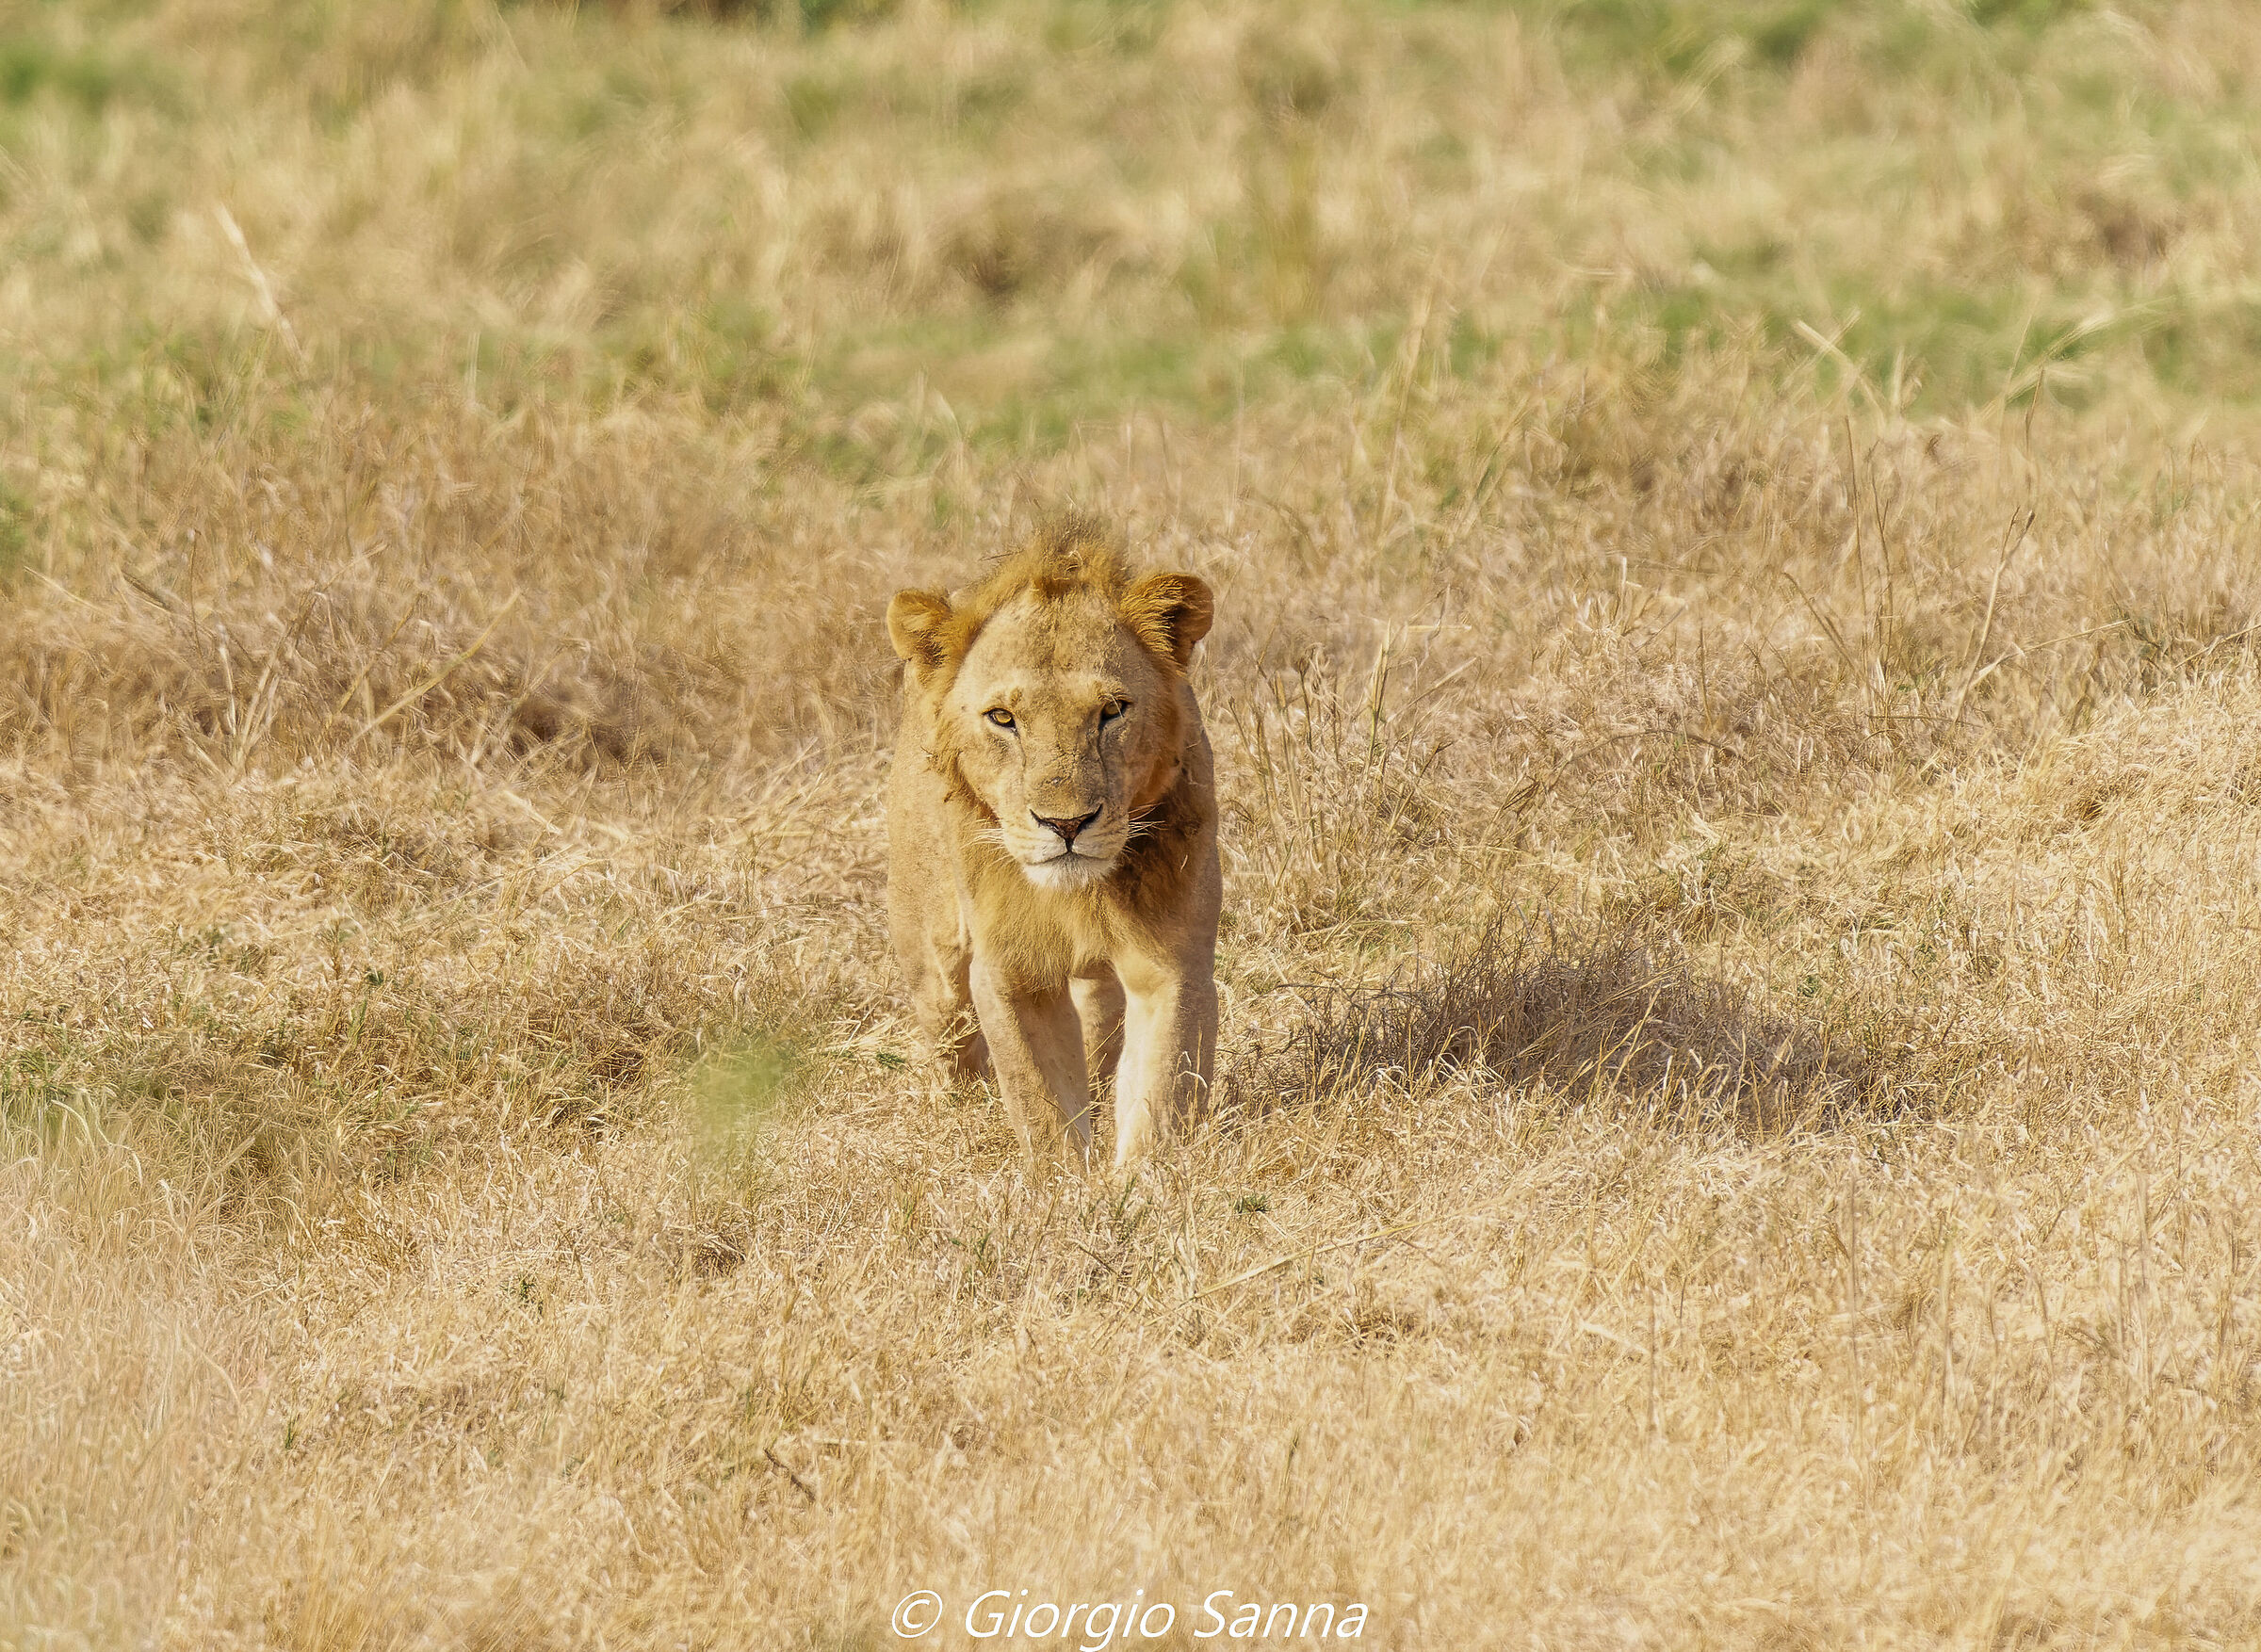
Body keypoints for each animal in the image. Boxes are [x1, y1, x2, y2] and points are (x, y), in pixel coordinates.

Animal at [884, 522, 1220, 1169]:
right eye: (1002, 718)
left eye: (1112, 711)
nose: (1066, 825)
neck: (1077, 897)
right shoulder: (1010, 970)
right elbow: (1039, 1101)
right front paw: (1064, 1186)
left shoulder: (1172, 958)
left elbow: (1160, 1088)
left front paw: (1142, 1183)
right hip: (933, 958)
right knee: (948, 1031)